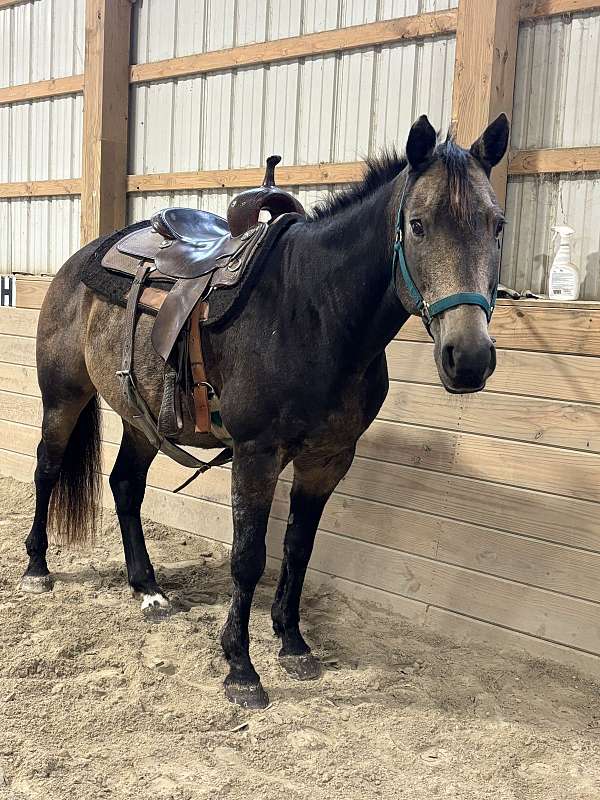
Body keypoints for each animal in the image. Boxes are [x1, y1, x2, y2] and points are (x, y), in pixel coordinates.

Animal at [22, 112, 506, 708]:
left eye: (497, 225)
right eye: (417, 225)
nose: (469, 357)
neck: (315, 312)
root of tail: (81, 260)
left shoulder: (328, 460)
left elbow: (298, 548)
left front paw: (293, 641)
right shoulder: (257, 455)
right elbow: (249, 557)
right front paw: (240, 667)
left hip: (143, 420)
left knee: (125, 485)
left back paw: (149, 588)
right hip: (62, 399)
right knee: (47, 469)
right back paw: (37, 566)